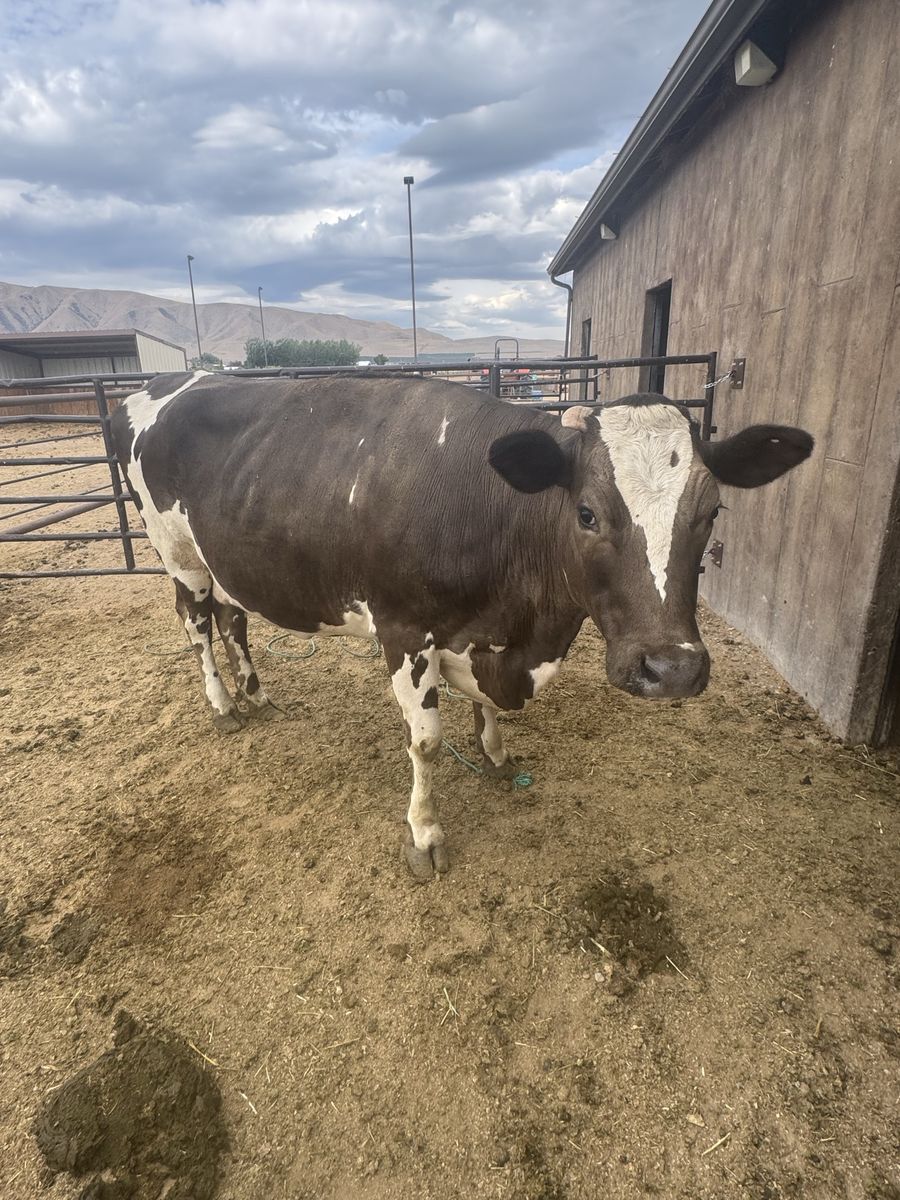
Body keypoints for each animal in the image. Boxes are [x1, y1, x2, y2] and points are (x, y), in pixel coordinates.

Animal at [111, 371, 812, 880]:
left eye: (713, 510)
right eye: (586, 513)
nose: (671, 669)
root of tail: (167, 381)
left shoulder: (487, 637)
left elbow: (485, 706)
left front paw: (495, 752)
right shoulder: (402, 630)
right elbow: (424, 742)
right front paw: (424, 833)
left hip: (226, 560)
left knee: (234, 618)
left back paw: (257, 694)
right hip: (176, 553)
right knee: (198, 625)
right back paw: (223, 704)